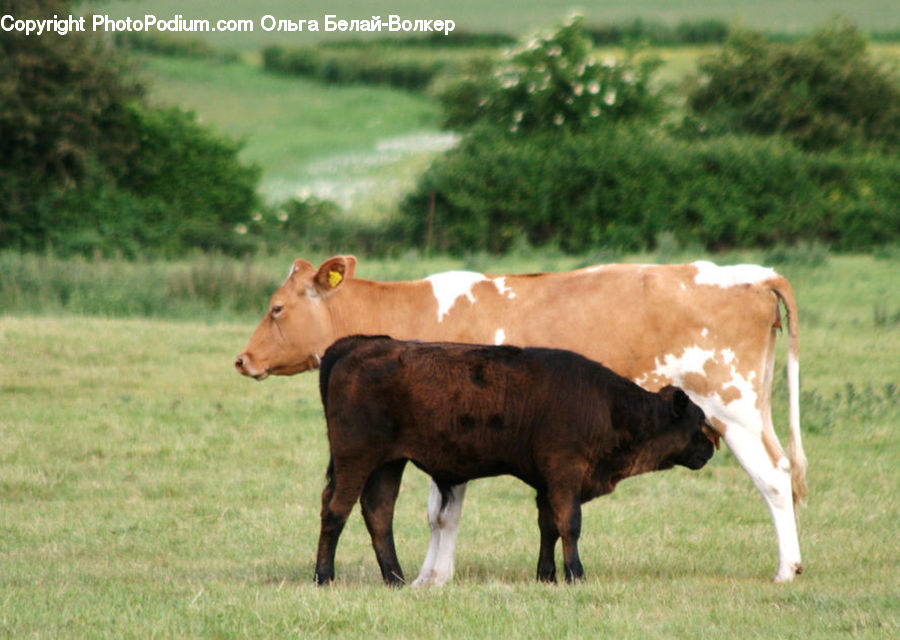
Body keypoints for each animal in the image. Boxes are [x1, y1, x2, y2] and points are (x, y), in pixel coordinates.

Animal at [314, 335, 716, 585]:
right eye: (698, 421)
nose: (711, 449)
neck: (607, 406)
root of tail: (362, 343)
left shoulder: (546, 482)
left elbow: (548, 526)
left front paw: (547, 575)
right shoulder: (565, 472)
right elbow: (570, 524)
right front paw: (575, 574)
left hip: (387, 463)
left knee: (379, 513)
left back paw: (395, 578)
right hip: (356, 456)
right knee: (335, 509)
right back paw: (324, 576)